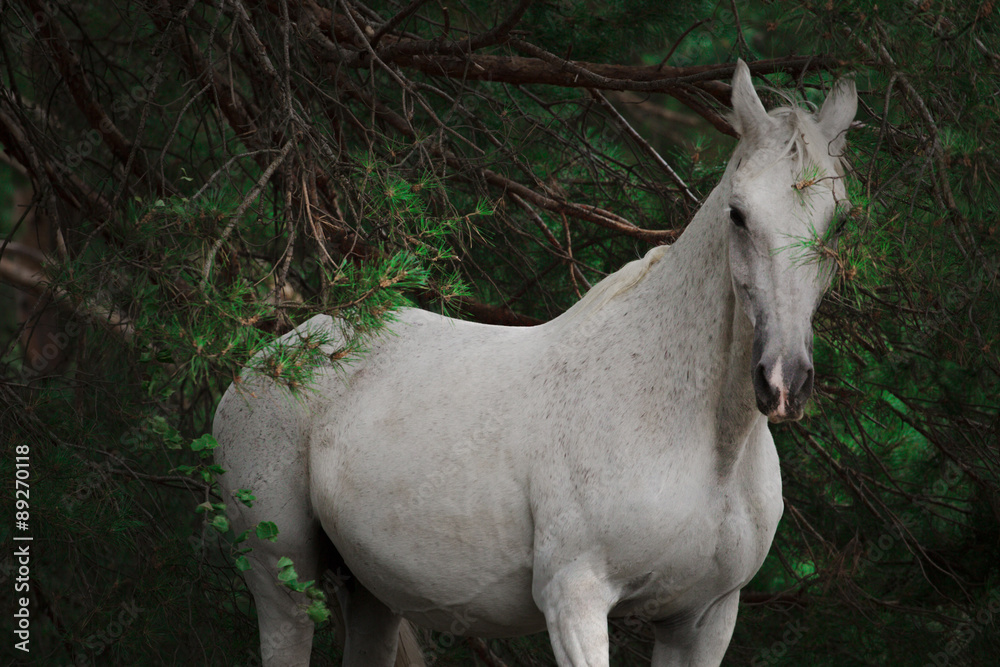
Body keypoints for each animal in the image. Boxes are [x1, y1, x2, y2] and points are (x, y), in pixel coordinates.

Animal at [213, 60, 857, 667]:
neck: (701, 440)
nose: (783, 382)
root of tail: (276, 355)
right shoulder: (575, 602)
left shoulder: (703, 620)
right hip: (282, 584)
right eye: (739, 214)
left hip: (372, 594)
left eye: (840, 221)